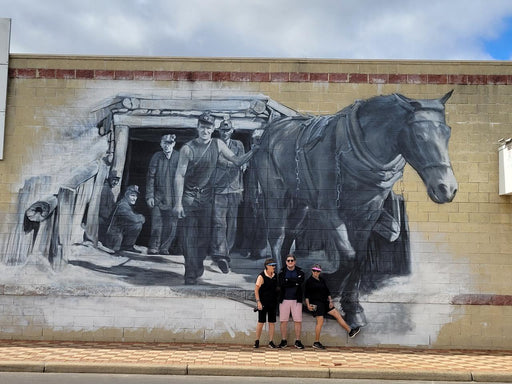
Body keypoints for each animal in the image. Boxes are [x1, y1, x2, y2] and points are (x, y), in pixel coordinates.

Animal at [254, 91, 458, 328]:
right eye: (419, 136)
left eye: (448, 134)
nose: (447, 188)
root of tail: (272, 130)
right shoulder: (329, 211)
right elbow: (349, 256)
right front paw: (327, 287)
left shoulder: (369, 214)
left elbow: (359, 258)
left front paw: (353, 308)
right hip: (276, 196)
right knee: (277, 237)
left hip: (300, 203)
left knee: (290, 236)